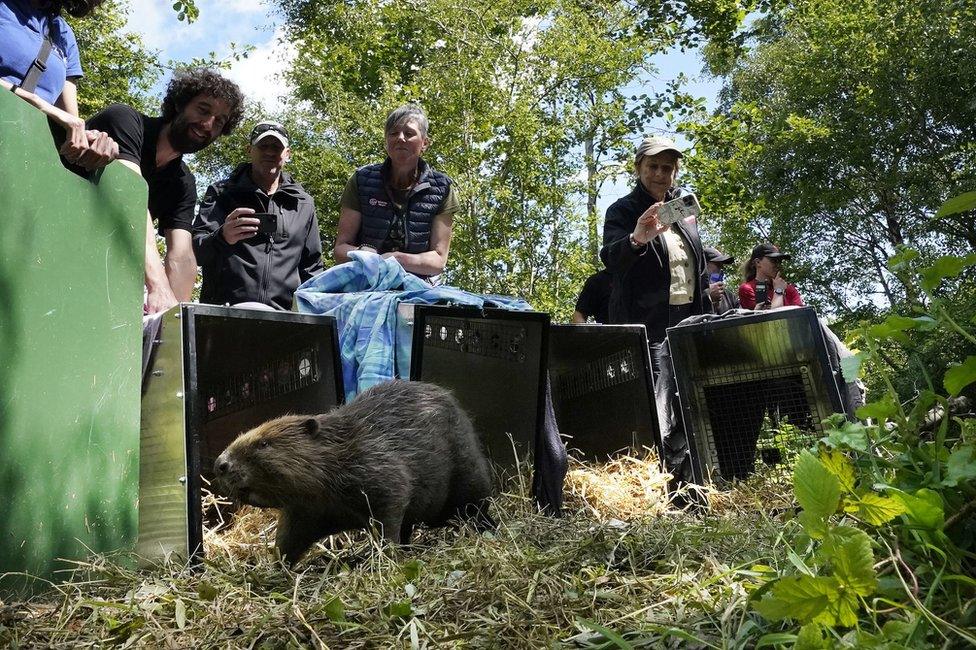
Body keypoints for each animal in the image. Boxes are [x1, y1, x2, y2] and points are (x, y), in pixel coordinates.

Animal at [210, 378, 492, 560]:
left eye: (264, 443)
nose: (220, 464)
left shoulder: (377, 469)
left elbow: (392, 507)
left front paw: (386, 556)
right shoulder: (304, 509)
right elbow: (288, 538)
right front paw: (274, 569)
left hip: (468, 478)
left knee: (477, 507)